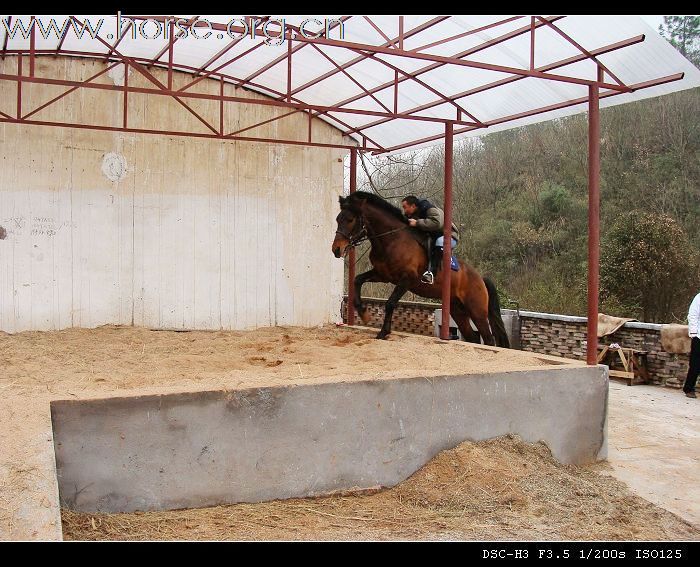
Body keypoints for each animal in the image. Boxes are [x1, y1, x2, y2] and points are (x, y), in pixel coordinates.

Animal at [334, 193, 508, 348]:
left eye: (350, 219)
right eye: (337, 219)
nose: (336, 249)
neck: (392, 240)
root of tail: (480, 278)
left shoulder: (407, 279)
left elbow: (390, 303)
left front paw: (383, 332)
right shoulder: (383, 274)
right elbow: (357, 279)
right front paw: (363, 312)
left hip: (477, 312)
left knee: (488, 339)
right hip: (458, 311)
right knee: (473, 337)